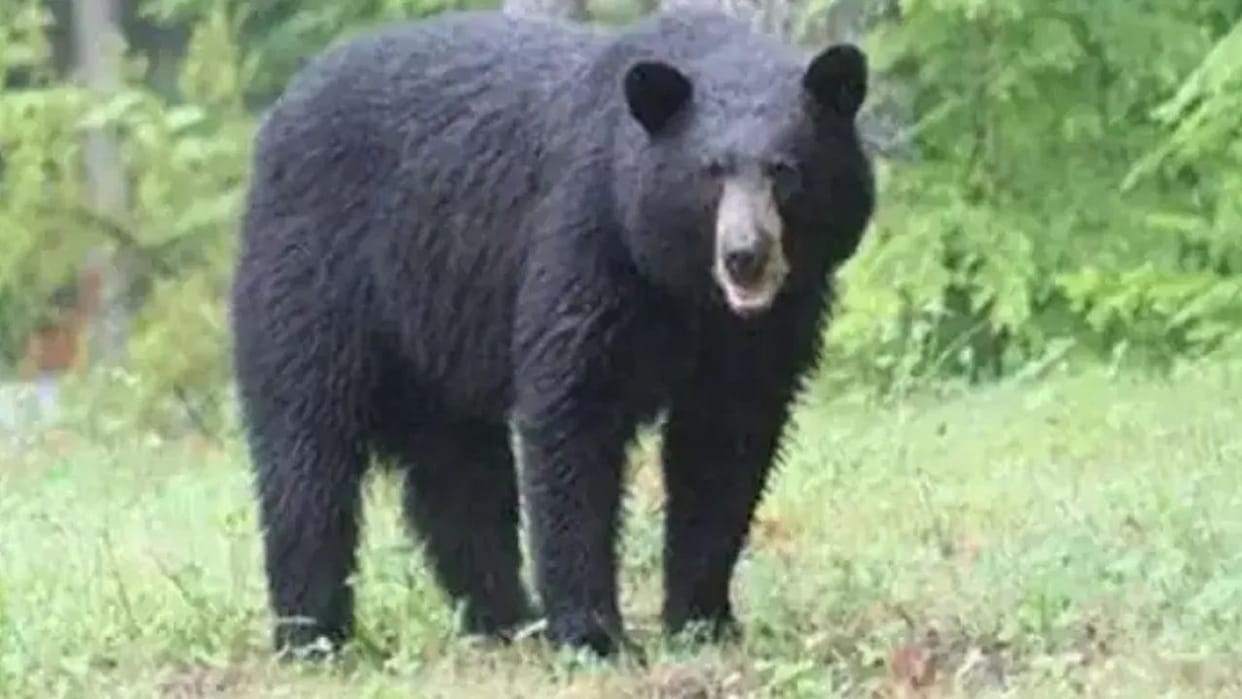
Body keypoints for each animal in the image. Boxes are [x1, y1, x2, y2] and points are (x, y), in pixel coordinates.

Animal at [229, 7, 875, 659]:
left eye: (784, 171)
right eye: (710, 173)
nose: (745, 258)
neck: (685, 289)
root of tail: (277, 113)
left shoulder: (766, 325)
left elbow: (726, 444)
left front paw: (704, 620)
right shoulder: (588, 236)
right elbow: (573, 412)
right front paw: (593, 633)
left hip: (437, 340)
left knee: (460, 474)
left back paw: (504, 620)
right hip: (315, 278)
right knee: (308, 453)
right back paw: (312, 634)